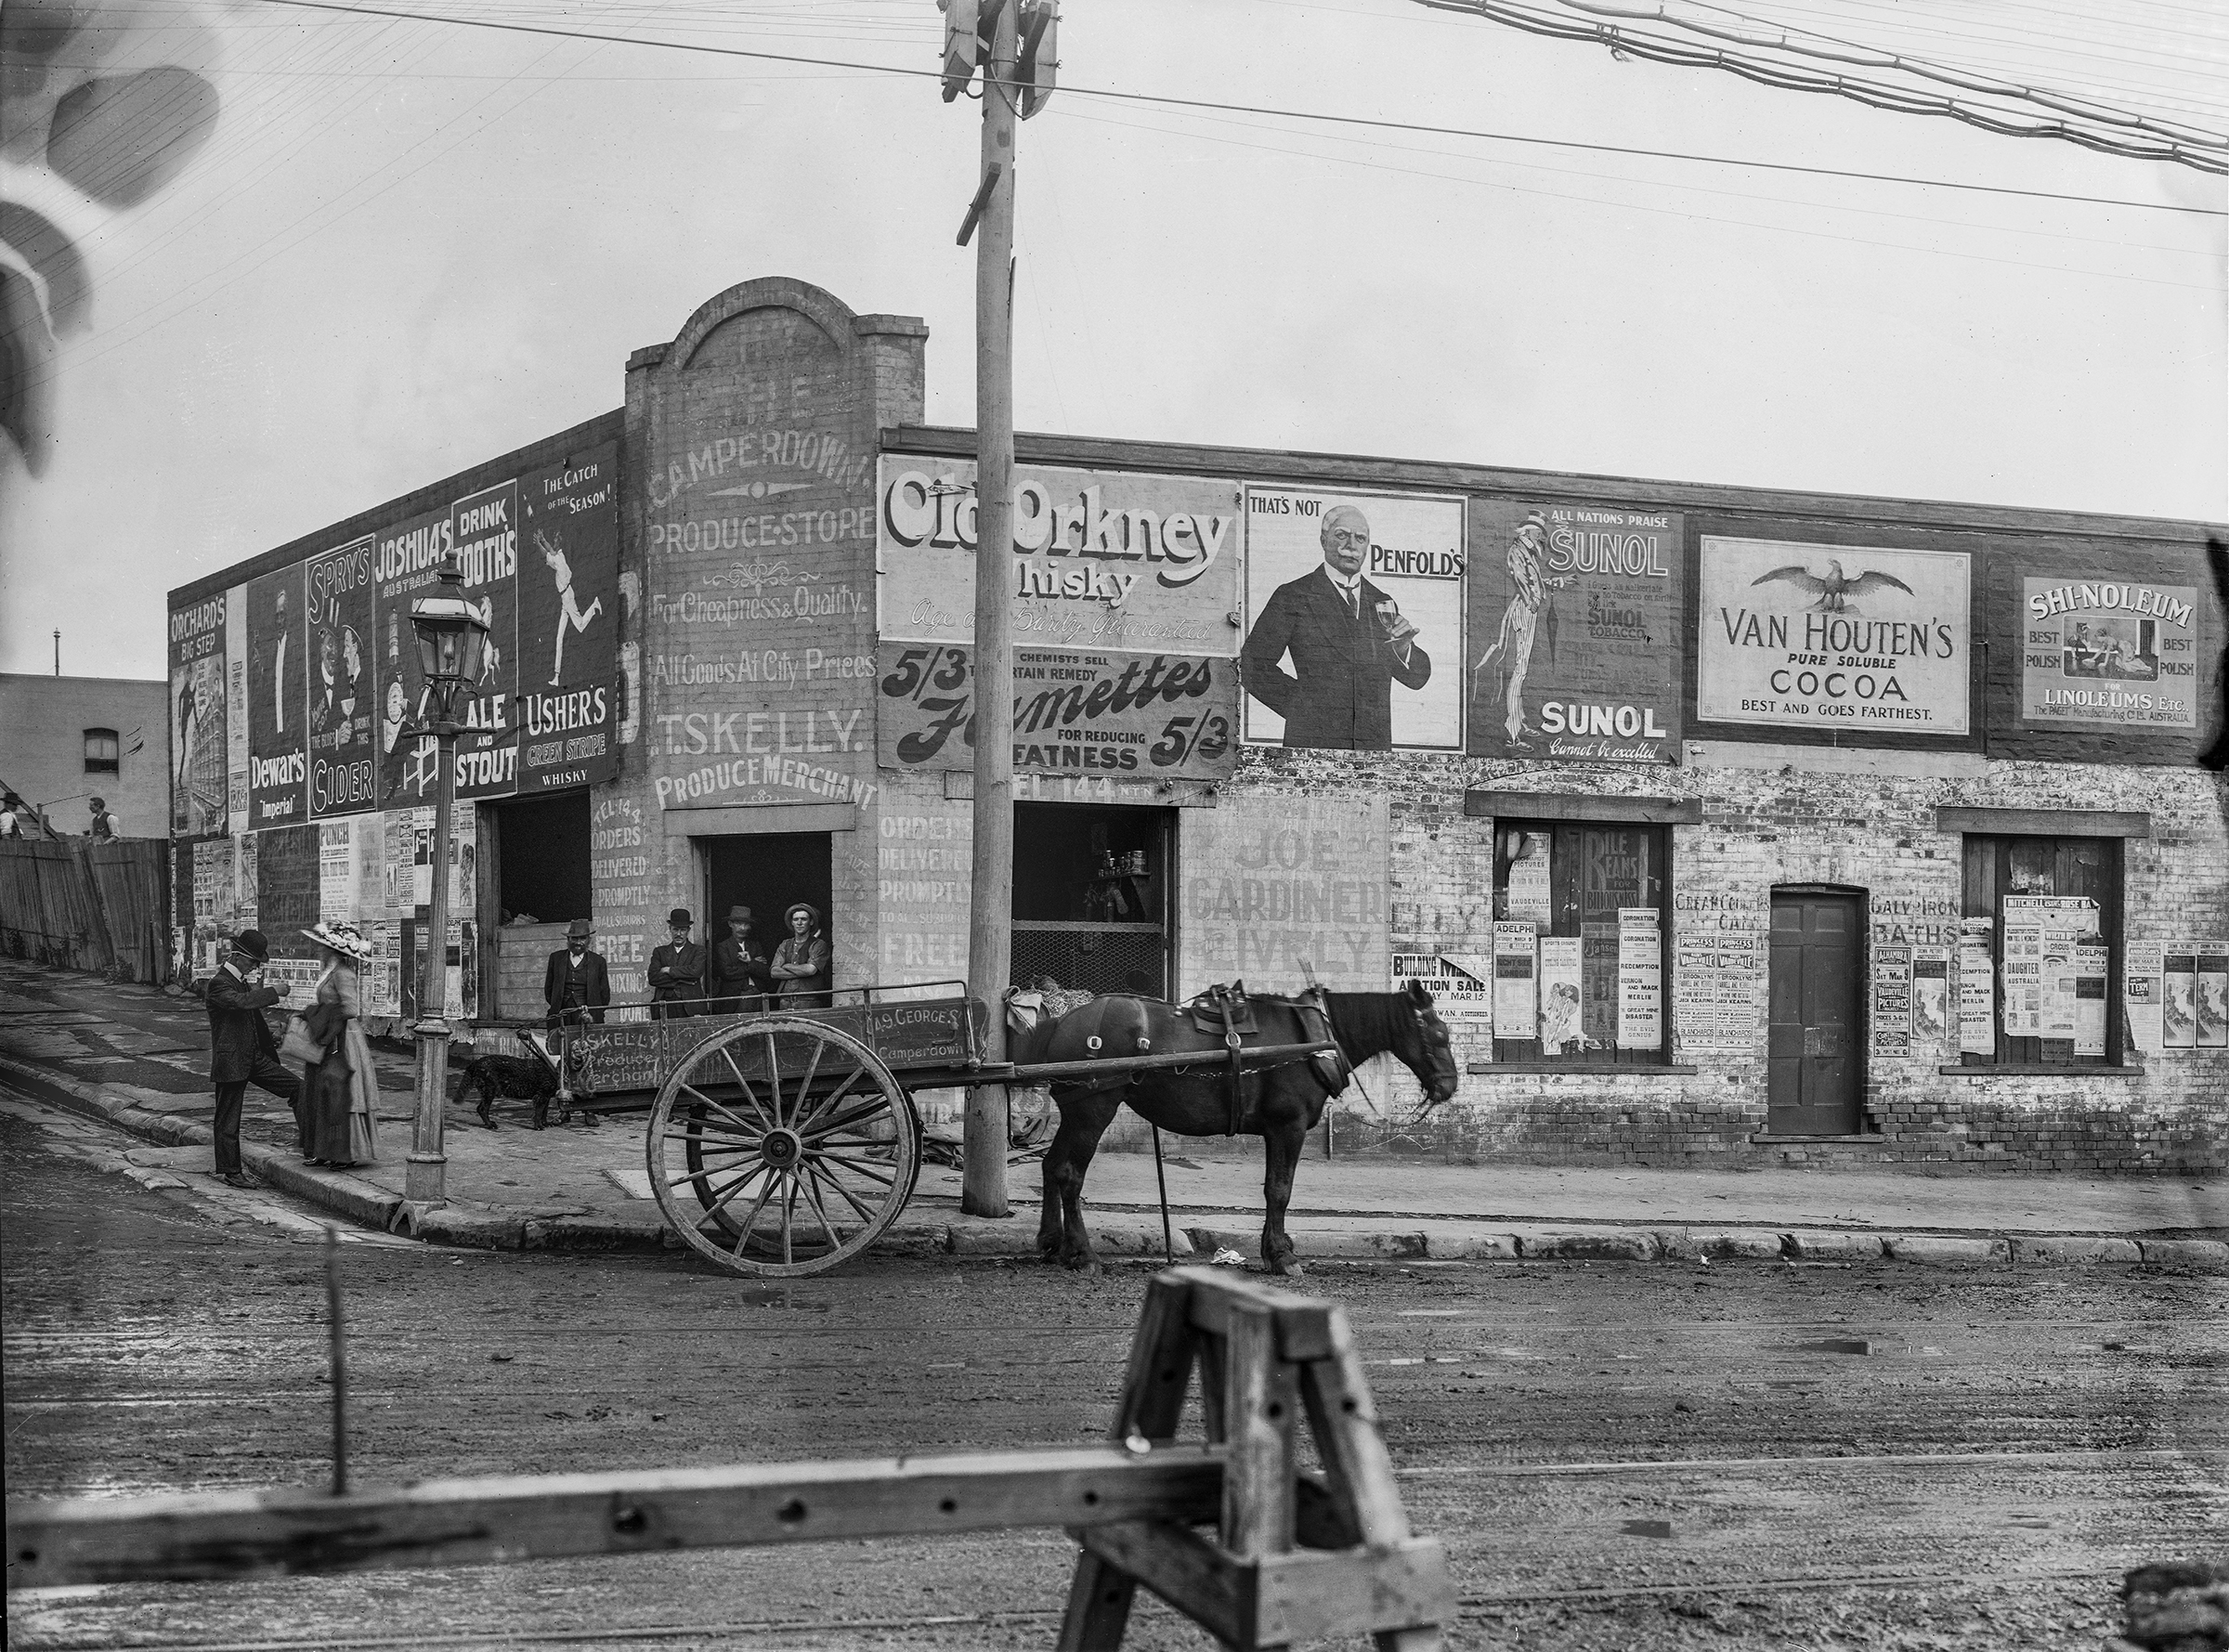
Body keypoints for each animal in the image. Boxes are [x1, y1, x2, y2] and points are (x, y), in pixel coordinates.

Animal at [1016, 981, 1462, 1275]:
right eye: (1440, 1033)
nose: (1449, 1085)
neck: (1316, 1041)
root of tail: (1063, 1023)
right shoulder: (1288, 1126)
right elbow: (1280, 1190)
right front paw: (1282, 1257)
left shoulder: (1277, 1130)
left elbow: (1272, 1189)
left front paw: (1273, 1249)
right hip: (1093, 1110)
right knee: (1070, 1174)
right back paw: (1082, 1253)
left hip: (1075, 1112)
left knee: (1051, 1167)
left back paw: (1053, 1244)